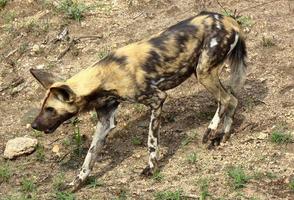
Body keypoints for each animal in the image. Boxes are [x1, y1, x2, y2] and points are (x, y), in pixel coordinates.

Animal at [30, 11, 246, 191]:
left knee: (226, 99)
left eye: (50, 109)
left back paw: (210, 130)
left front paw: (151, 167)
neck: (104, 77)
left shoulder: (157, 99)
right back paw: (223, 135)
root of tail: (229, 20)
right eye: (43, 107)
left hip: (203, 73)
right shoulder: (105, 122)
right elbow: (88, 158)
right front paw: (76, 183)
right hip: (206, 73)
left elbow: (151, 141)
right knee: (233, 100)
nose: (33, 125)